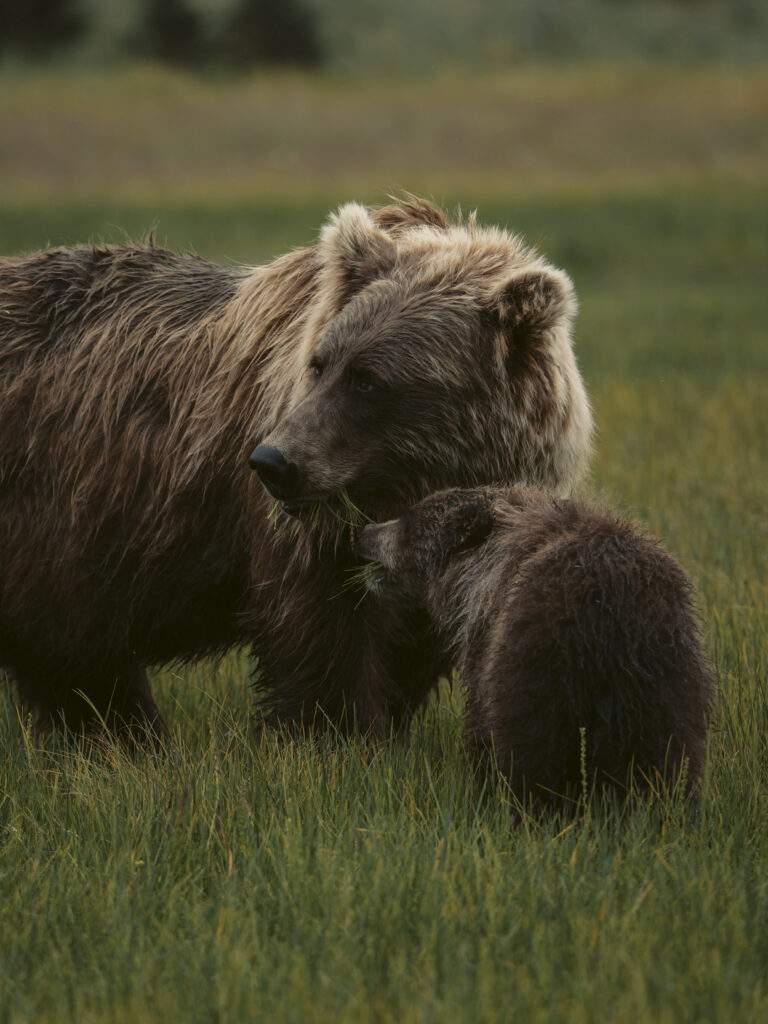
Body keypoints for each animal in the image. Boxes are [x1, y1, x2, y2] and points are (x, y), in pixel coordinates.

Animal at [0, 197, 592, 742]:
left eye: (367, 379)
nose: (272, 462)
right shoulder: (305, 531)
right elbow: (322, 634)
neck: (413, 481)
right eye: (321, 364)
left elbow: (415, 636)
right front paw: (336, 735)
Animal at [355, 487, 716, 806]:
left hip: (543, 662)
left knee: (534, 750)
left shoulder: (486, 644)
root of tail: (609, 607)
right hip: (663, 674)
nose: (364, 531)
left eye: (407, 520)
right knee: (665, 755)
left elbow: (482, 723)